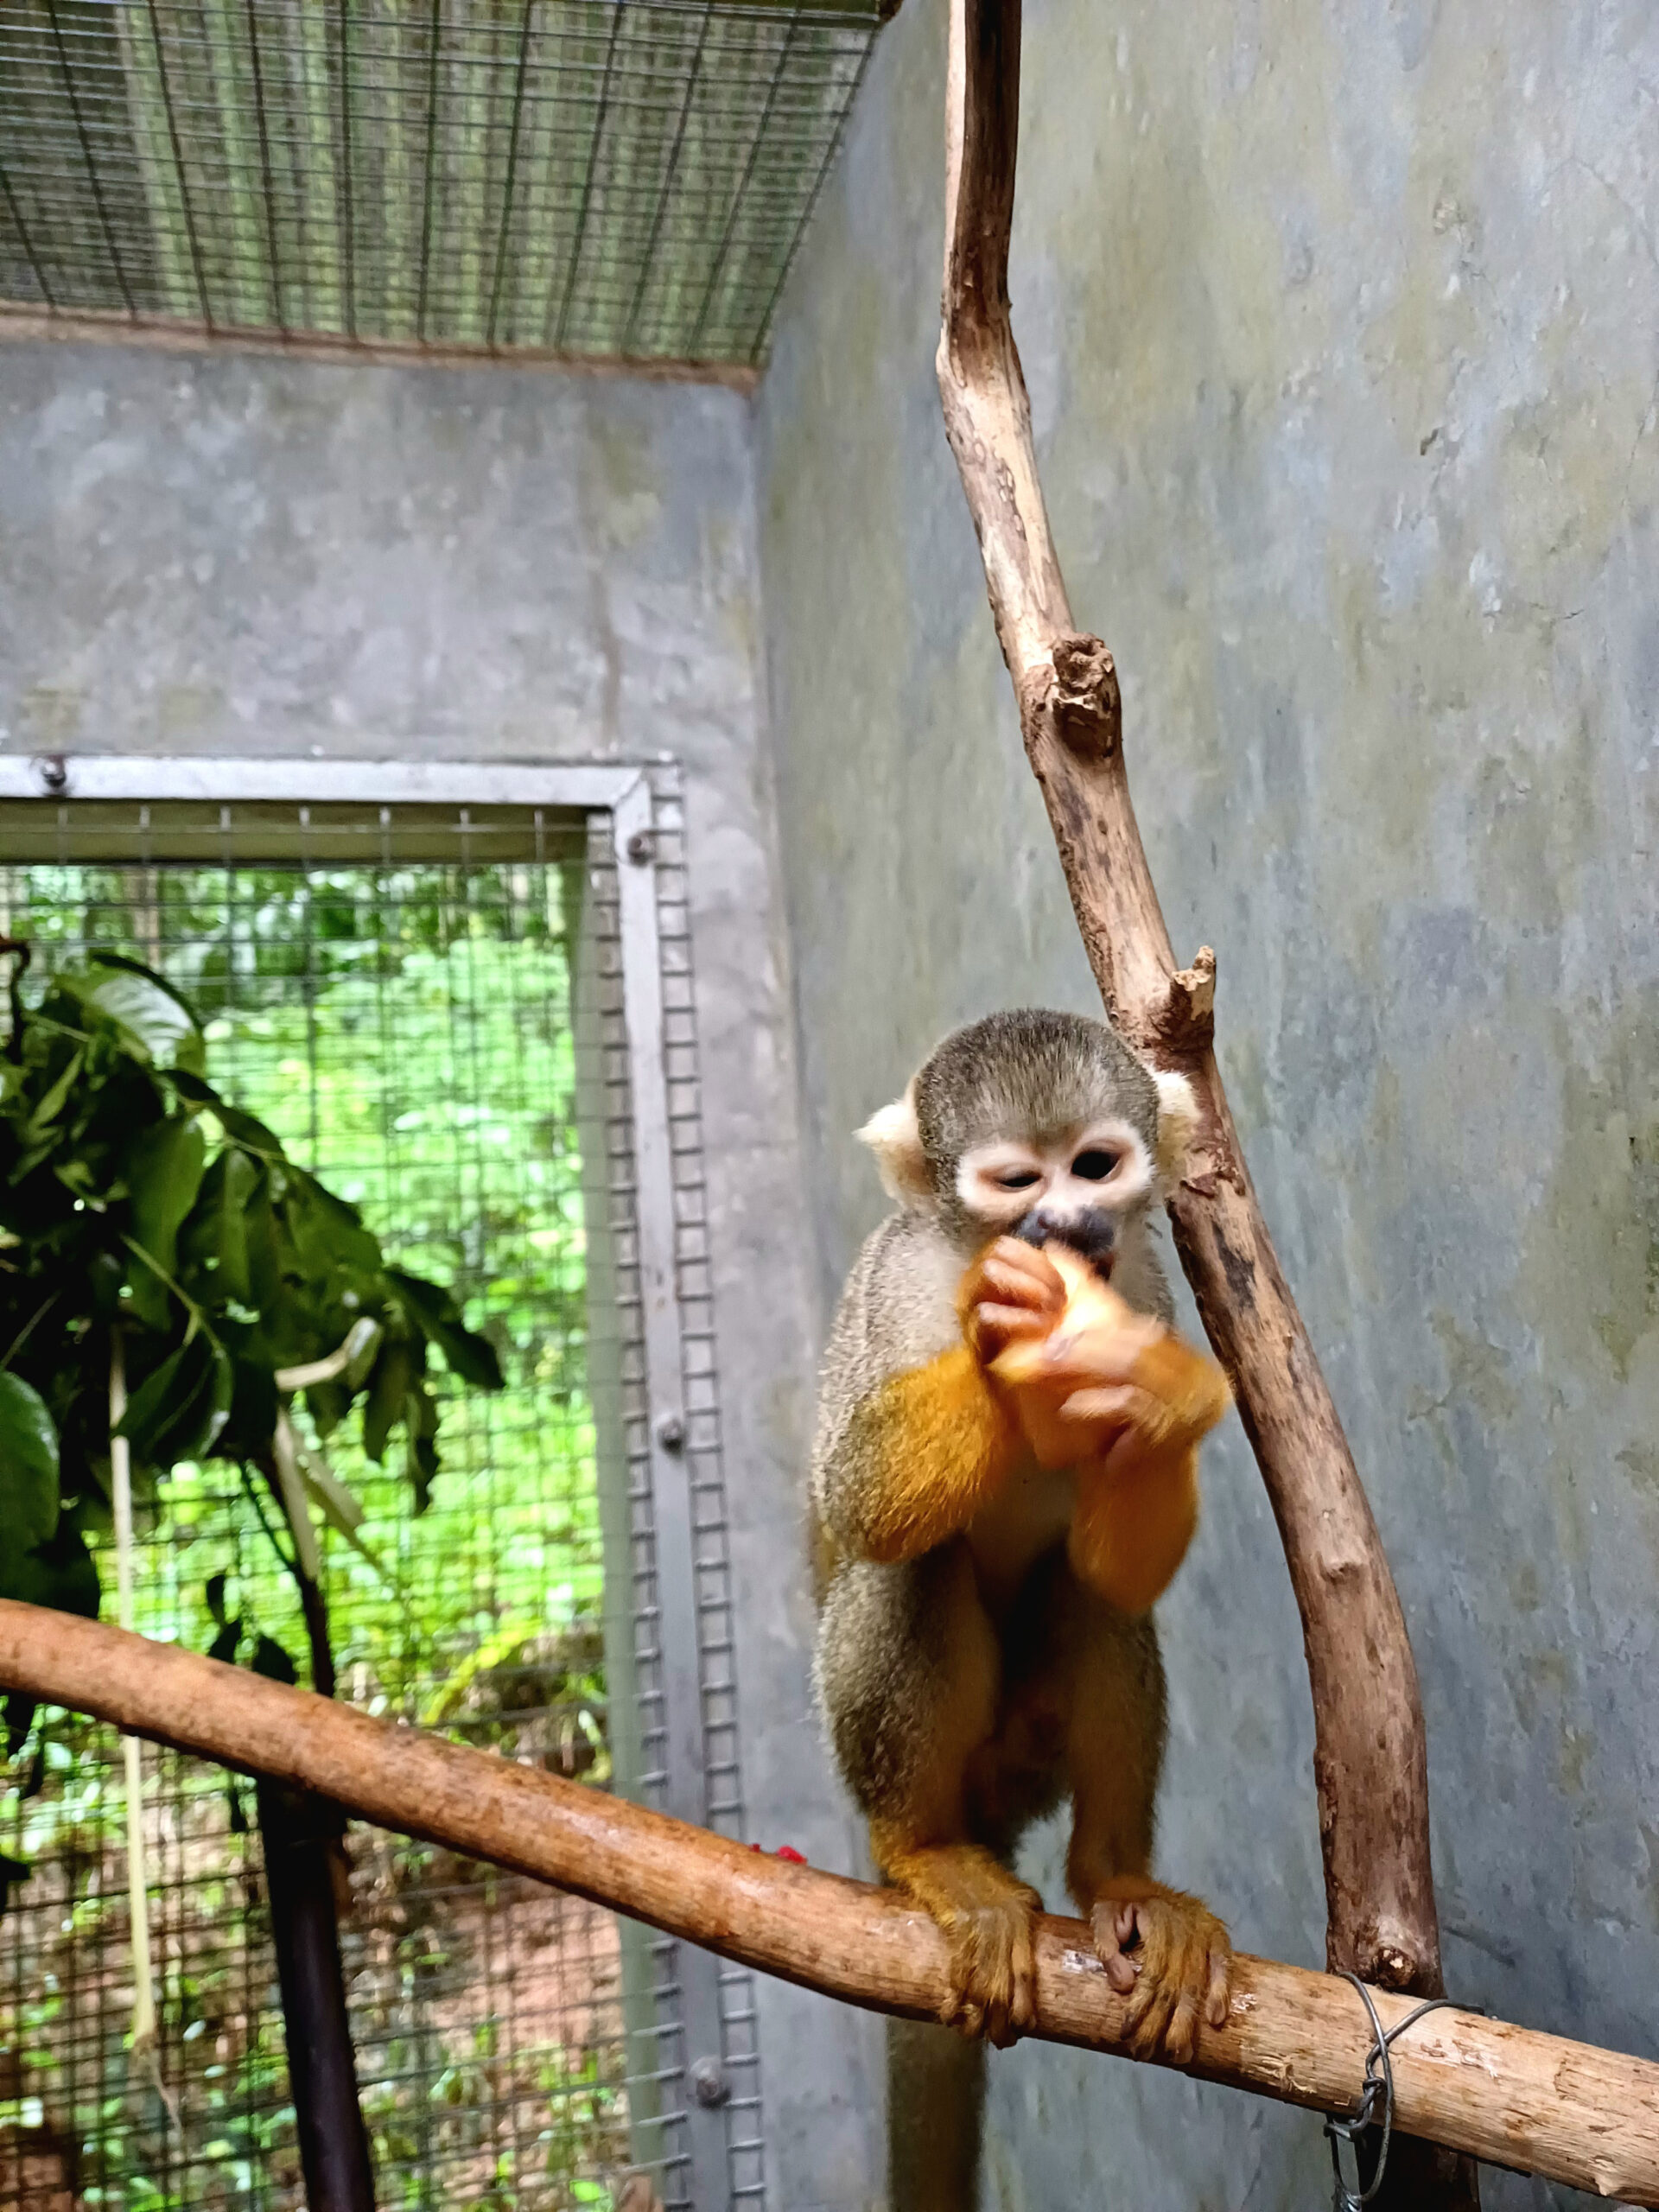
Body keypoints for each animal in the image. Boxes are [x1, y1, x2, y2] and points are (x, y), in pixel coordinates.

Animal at [810, 1008, 1232, 2065]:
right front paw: (996, 1335)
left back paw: (1119, 1882)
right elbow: (858, 1496)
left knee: (1098, 1603)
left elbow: (1118, 1574)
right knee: (910, 1569)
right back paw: (924, 1849)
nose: (1065, 1226)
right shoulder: (895, 1277)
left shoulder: (1148, 1288)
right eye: (1015, 1183)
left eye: (1093, 1166)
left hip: (1028, 1752)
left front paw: (1167, 1404)